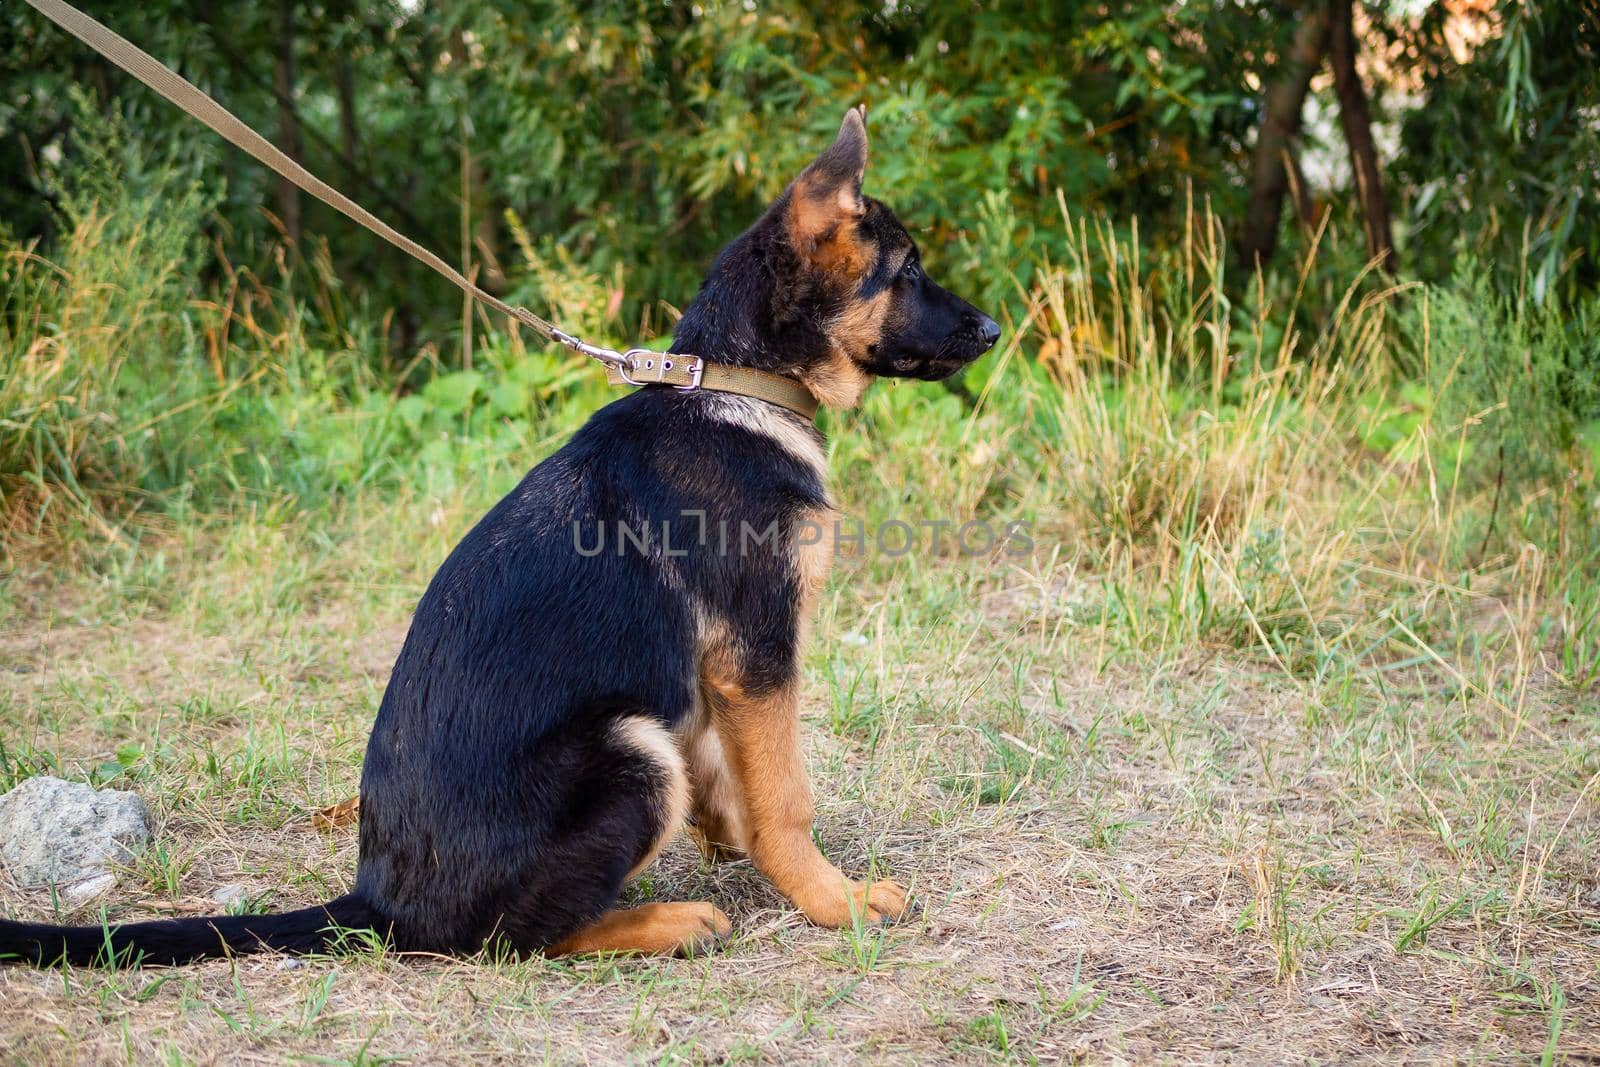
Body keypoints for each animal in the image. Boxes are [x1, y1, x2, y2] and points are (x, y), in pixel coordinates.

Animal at [0, 108, 992, 966]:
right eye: (907, 270)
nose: (988, 327)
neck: (737, 382)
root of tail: (378, 902)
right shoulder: (757, 649)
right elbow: (786, 795)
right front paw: (831, 899)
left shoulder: (719, 669)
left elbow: (734, 771)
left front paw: (743, 842)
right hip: (631, 751)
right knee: (514, 937)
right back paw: (666, 921)